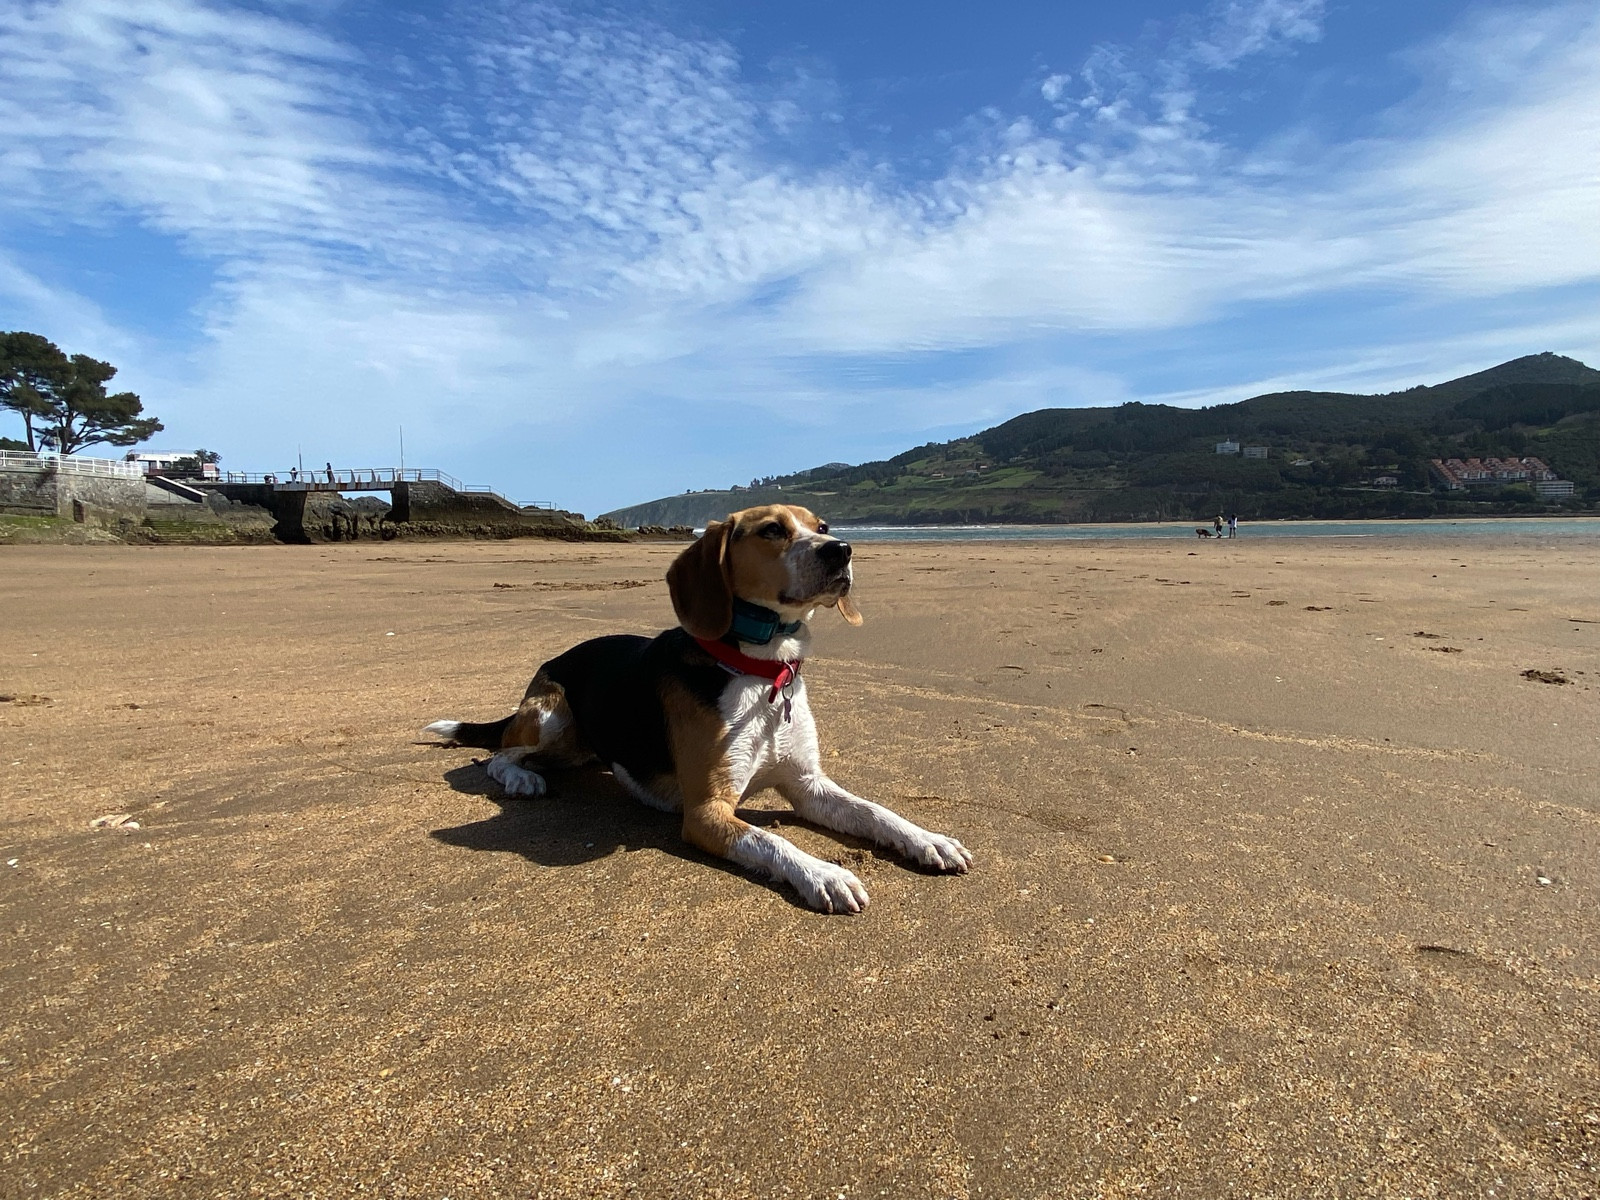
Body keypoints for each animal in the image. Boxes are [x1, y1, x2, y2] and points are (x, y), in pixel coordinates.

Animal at [423, 504, 972, 912]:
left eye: (822, 528)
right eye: (773, 530)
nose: (842, 549)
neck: (761, 670)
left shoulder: (808, 786)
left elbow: (876, 811)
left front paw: (928, 839)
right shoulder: (707, 813)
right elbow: (775, 842)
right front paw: (825, 872)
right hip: (554, 717)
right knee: (499, 755)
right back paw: (521, 779)